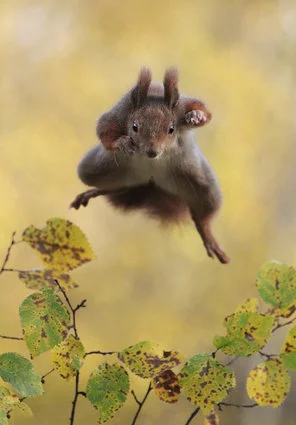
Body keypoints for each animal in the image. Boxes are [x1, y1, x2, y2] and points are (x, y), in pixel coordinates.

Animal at [70, 68, 230, 264]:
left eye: (171, 129)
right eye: (134, 126)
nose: (152, 152)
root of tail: (151, 182)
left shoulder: (183, 105)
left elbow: (203, 109)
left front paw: (196, 116)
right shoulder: (120, 113)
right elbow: (104, 129)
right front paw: (122, 142)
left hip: (202, 185)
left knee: (202, 215)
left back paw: (207, 236)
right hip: (97, 169)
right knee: (115, 187)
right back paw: (93, 192)